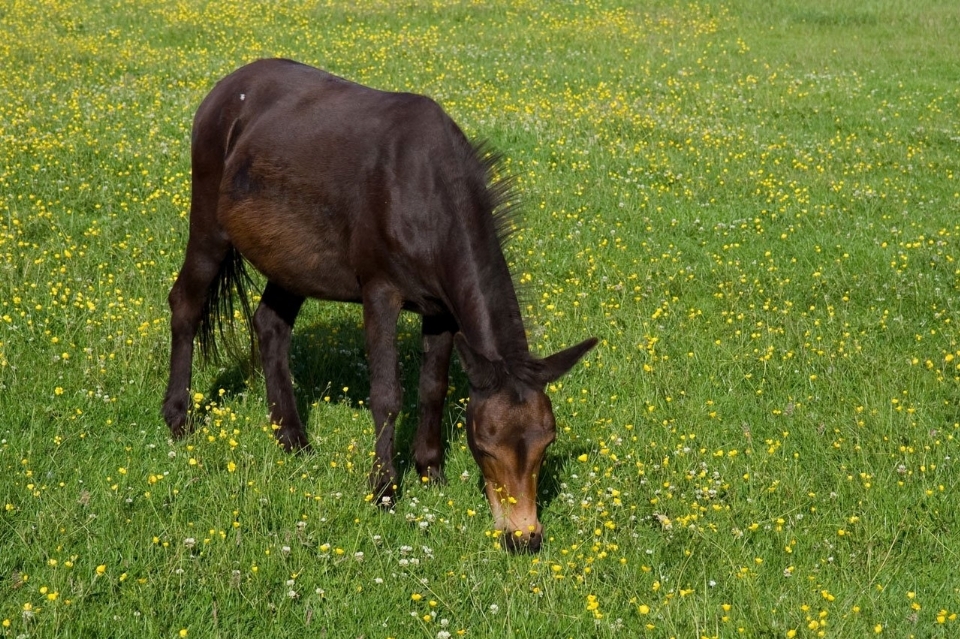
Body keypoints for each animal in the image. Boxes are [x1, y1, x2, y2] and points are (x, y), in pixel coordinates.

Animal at [162, 57, 596, 552]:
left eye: (546, 444)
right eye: (484, 446)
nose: (523, 538)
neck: (427, 194)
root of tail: (227, 86)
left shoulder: (440, 311)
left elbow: (433, 388)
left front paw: (430, 471)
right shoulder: (380, 293)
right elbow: (387, 395)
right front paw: (384, 488)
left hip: (291, 259)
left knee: (270, 324)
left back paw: (292, 439)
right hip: (210, 227)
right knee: (186, 305)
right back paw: (178, 419)